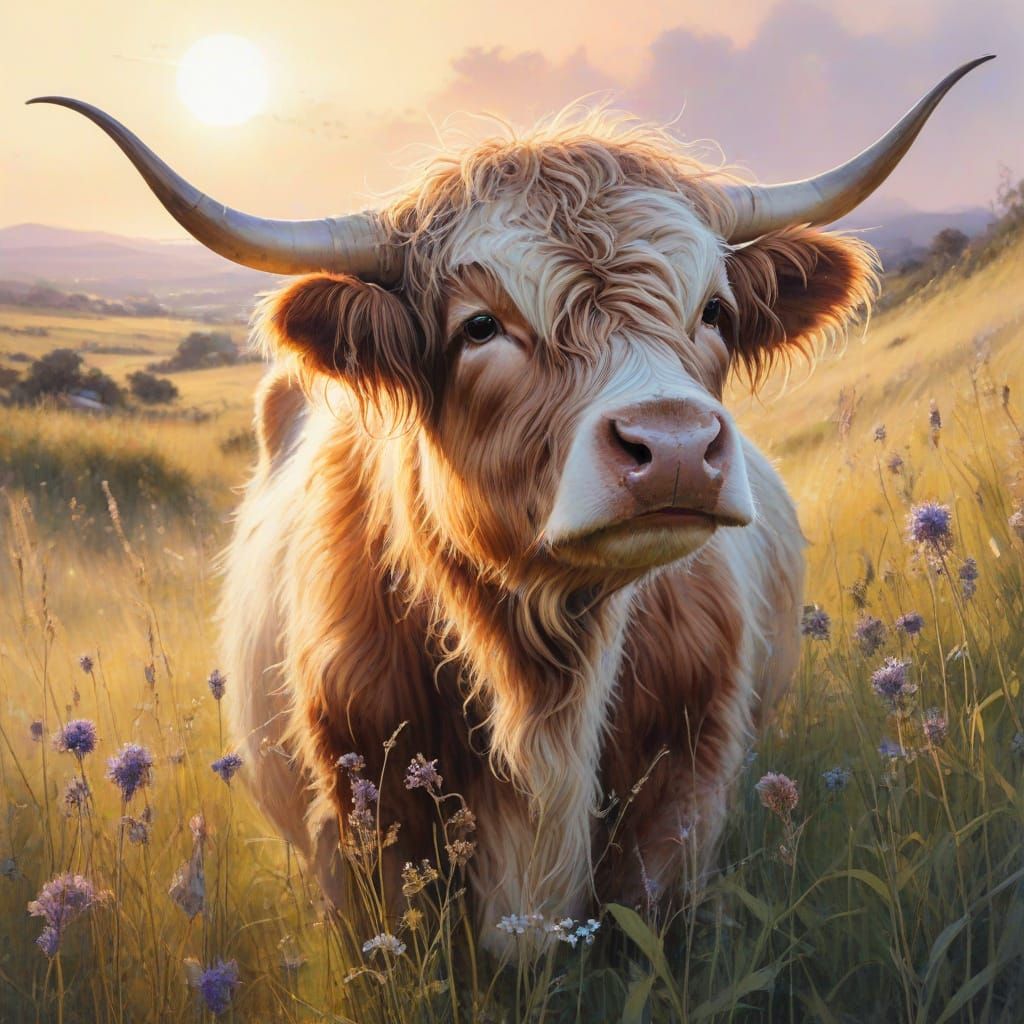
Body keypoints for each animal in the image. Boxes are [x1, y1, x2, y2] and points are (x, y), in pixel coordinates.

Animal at [31, 56, 990, 943]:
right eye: (481, 326)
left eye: (715, 312)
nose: (676, 446)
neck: (543, 683)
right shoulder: (364, 825)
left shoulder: (686, 792)